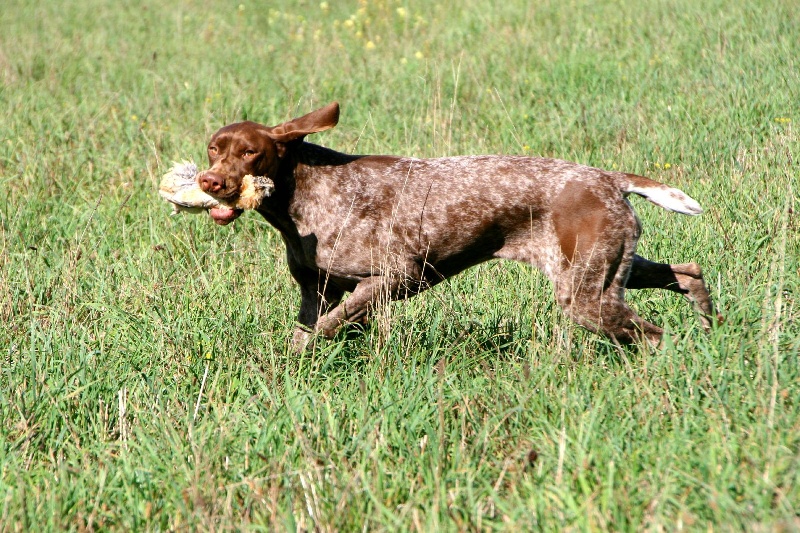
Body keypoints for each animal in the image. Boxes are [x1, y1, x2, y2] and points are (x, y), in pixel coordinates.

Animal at [197, 100, 716, 352]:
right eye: (213, 148)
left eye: (250, 152)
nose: (209, 181)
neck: (304, 196)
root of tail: (609, 178)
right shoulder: (316, 290)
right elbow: (308, 333)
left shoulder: (398, 276)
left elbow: (329, 326)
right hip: (609, 266)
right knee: (688, 272)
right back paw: (710, 322)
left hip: (586, 292)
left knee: (654, 335)